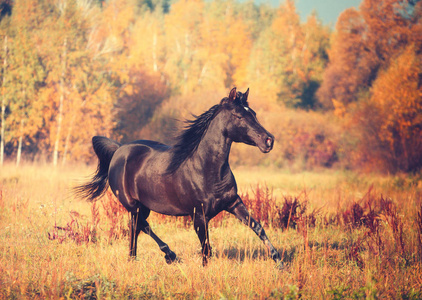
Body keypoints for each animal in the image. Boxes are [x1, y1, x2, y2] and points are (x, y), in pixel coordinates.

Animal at [76, 88, 282, 266]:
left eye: (253, 113)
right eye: (239, 116)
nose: (269, 140)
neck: (206, 168)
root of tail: (119, 150)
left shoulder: (233, 203)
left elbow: (257, 226)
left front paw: (278, 260)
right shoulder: (199, 215)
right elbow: (206, 248)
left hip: (143, 206)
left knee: (135, 228)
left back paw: (133, 259)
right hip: (131, 203)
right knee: (143, 225)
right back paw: (170, 255)